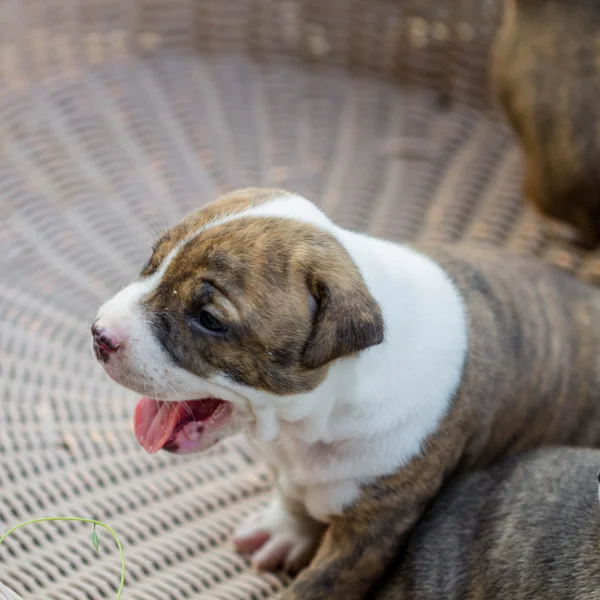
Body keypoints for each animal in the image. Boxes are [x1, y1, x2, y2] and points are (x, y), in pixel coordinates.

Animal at [95, 189, 600, 600]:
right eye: (152, 262)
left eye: (209, 319)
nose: (99, 335)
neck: (305, 423)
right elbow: (292, 493)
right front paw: (285, 528)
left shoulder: (371, 531)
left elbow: (321, 584)